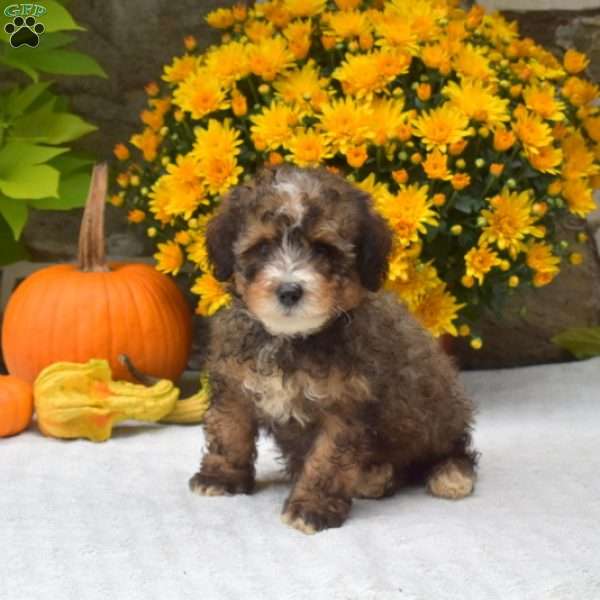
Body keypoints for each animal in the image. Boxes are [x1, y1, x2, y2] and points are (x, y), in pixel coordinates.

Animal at [190, 165, 480, 536]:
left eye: (324, 250)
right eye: (263, 247)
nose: (289, 291)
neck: (292, 339)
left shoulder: (346, 405)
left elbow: (328, 459)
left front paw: (311, 507)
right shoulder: (233, 382)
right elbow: (229, 429)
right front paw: (221, 476)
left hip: (440, 414)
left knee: (454, 447)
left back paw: (448, 475)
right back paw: (377, 477)